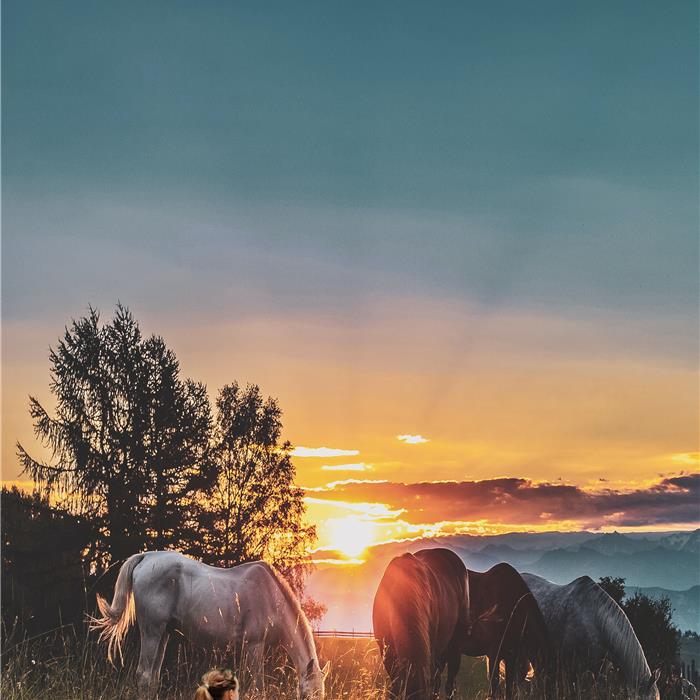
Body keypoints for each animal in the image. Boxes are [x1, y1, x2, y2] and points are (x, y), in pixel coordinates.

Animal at [91, 556, 328, 696]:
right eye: (308, 695)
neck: (271, 597)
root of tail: (146, 558)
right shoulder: (254, 646)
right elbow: (257, 687)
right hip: (152, 631)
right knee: (145, 675)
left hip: (163, 634)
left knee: (153, 678)